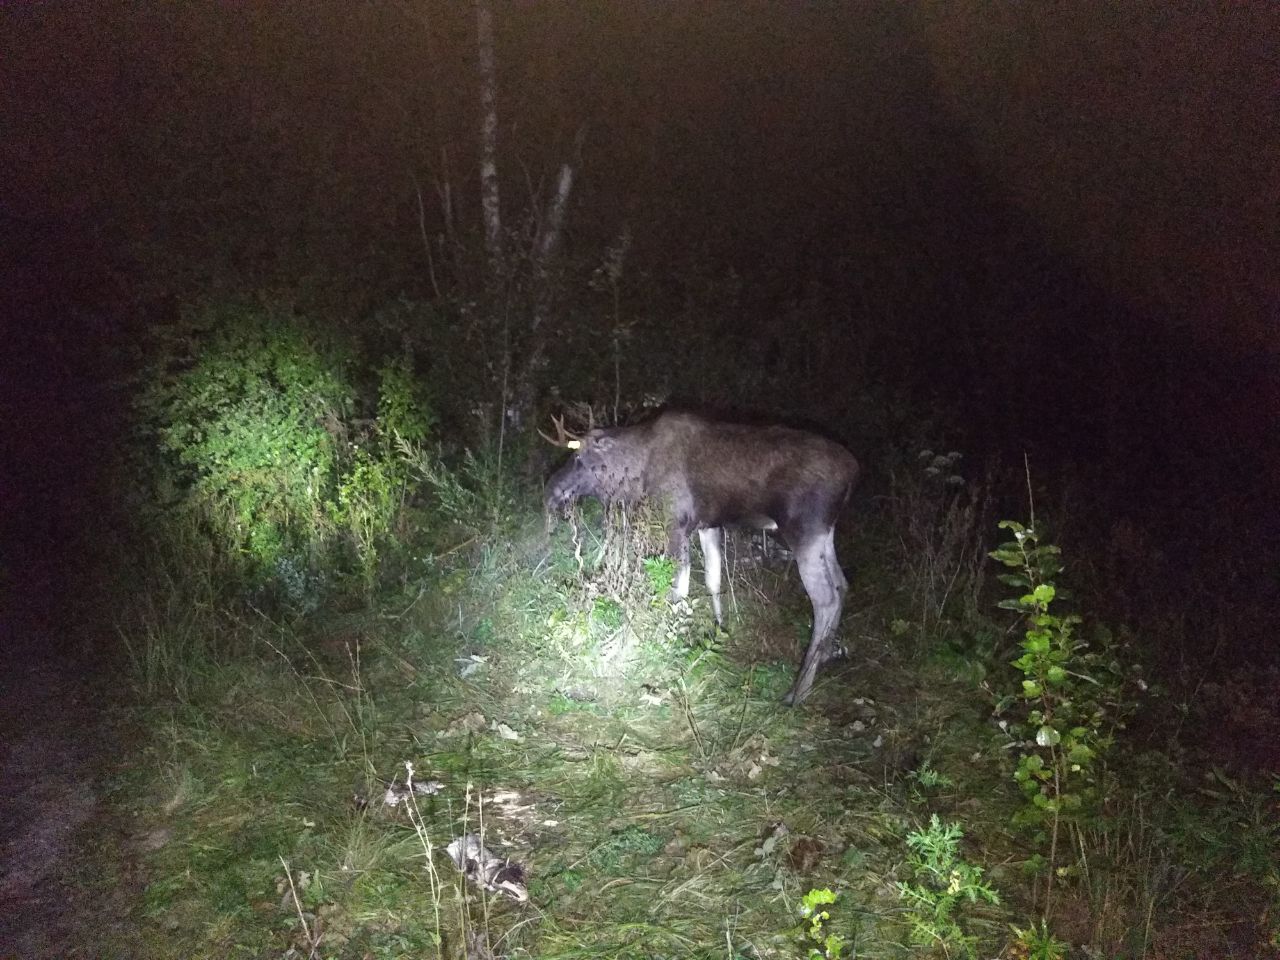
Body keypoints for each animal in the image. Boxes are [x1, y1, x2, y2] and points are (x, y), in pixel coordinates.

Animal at [540, 407, 860, 706]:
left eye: (578, 457)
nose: (551, 490)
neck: (636, 473)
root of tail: (852, 473)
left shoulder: (676, 523)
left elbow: (678, 591)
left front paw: (671, 640)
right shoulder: (709, 524)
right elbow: (712, 580)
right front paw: (719, 630)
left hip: (805, 529)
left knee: (825, 598)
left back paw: (798, 690)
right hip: (825, 535)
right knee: (842, 584)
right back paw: (827, 656)